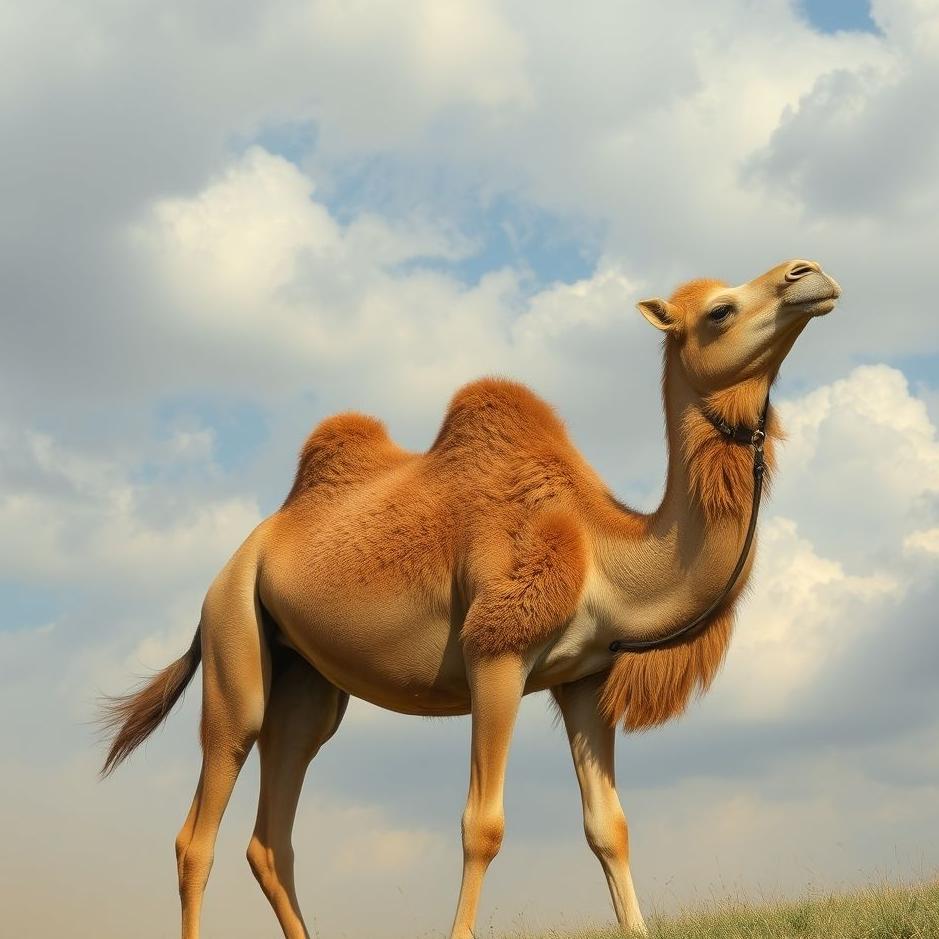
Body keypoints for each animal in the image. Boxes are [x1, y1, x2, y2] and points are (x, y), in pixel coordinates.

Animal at [101, 258, 841, 939]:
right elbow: (481, 824)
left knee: (271, 837)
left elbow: (609, 826)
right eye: (718, 311)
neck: (600, 549)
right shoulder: (496, 652)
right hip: (233, 638)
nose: (810, 274)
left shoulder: (584, 678)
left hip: (306, 686)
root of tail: (237, 558)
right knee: (198, 831)